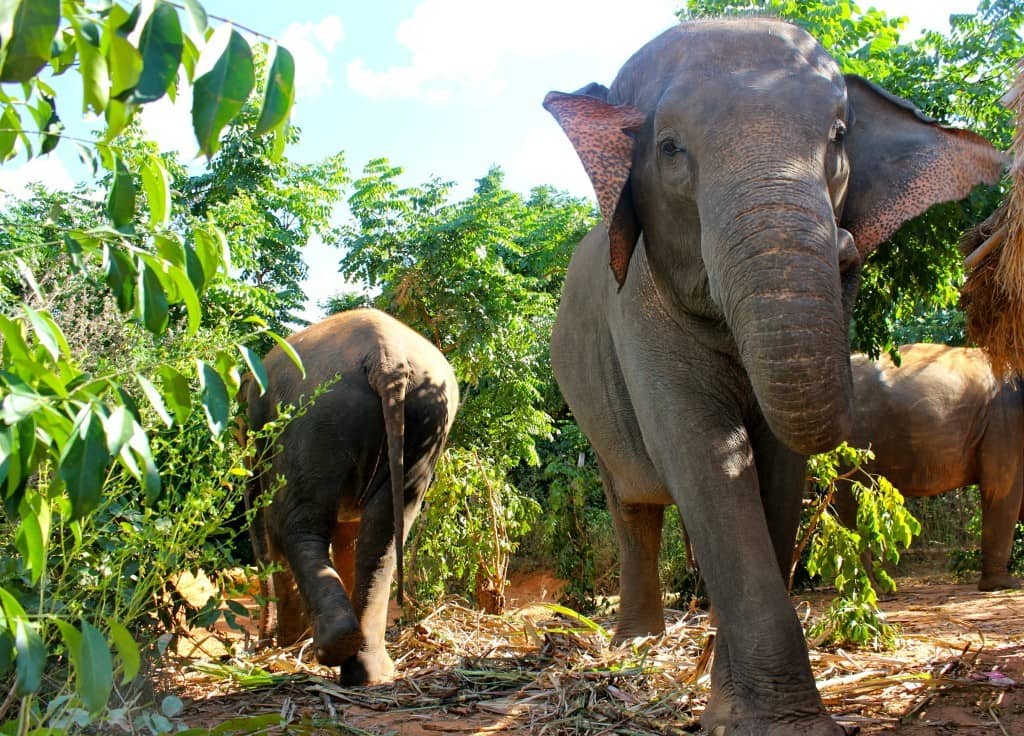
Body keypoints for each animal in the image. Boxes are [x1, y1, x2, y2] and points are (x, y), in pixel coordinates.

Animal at [239, 307, 456, 683]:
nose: (258, 645)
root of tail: (386, 358)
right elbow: (350, 538)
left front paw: (288, 645)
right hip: (423, 419)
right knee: (384, 533)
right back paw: (365, 667)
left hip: (315, 417)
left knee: (293, 527)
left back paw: (330, 647)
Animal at [544, 15, 999, 736]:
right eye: (669, 149)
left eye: (839, 137)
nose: (845, 246)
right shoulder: (637, 303)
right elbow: (702, 451)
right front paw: (769, 721)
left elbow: (779, 467)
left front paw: (744, 708)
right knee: (632, 506)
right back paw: (636, 645)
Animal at [839, 343, 1024, 593]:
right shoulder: (1005, 422)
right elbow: (1000, 488)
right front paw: (1003, 586)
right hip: (855, 443)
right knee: (855, 504)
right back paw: (872, 592)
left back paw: (884, 590)